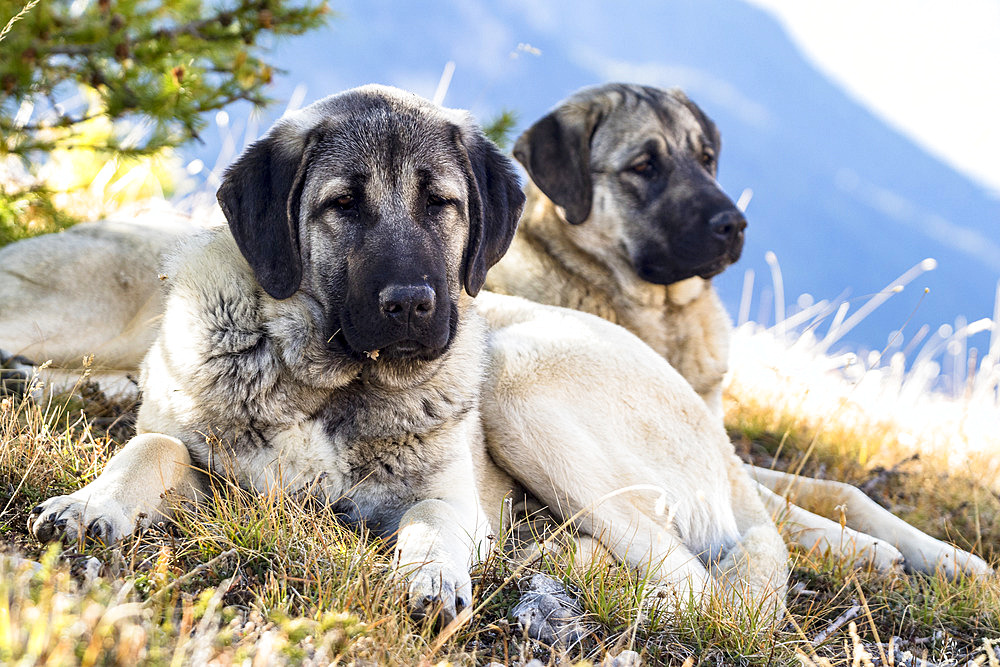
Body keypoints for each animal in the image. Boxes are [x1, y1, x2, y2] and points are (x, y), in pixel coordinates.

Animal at [25, 87, 788, 628]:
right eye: (342, 205)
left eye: (440, 203)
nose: (411, 303)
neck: (327, 383)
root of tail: (725, 448)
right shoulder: (218, 477)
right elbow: (150, 446)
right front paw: (91, 503)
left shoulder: (452, 497)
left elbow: (430, 517)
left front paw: (431, 578)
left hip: (518, 381)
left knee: (690, 579)